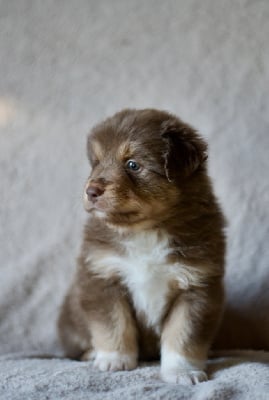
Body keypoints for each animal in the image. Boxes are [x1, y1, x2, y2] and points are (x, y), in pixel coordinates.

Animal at [57, 108, 225, 384]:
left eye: (132, 164)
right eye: (96, 163)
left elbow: (183, 334)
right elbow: (113, 324)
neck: (145, 231)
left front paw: (182, 372)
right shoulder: (102, 276)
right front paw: (114, 360)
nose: (91, 190)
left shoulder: (197, 286)